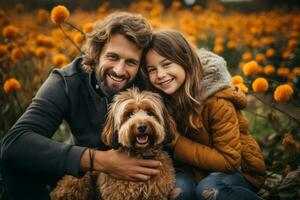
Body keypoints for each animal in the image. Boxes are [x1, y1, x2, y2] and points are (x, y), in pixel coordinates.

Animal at [50, 88, 180, 200]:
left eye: (150, 113)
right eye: (129, 115)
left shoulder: (158, 194)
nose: (142, 126)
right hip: (80, 180)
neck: (142, 154)